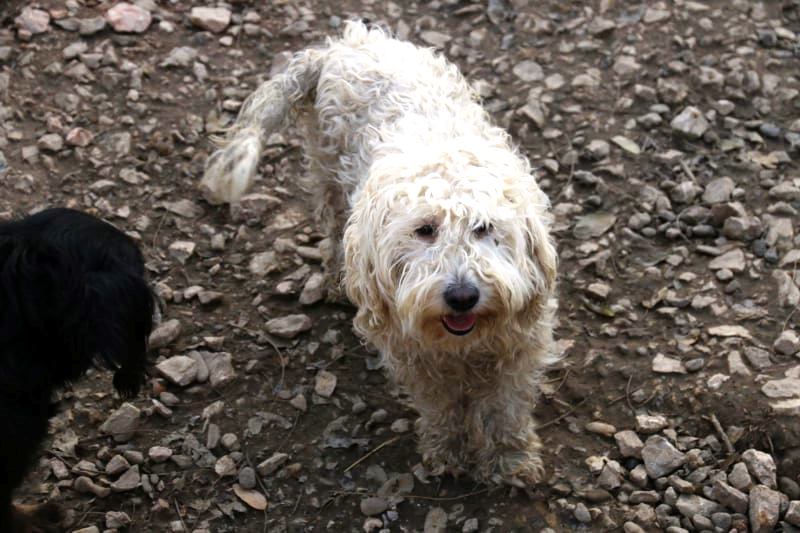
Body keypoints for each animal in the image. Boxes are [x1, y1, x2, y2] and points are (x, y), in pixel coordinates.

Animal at [203, 21, 560, 486]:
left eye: (484, 228)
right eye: (424, 230)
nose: (463, 296)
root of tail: (342, 45)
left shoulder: (518, 349)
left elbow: (506, 409)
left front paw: (510, 460)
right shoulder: (415, 357)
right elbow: (441, 406)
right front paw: (447, 451)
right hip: (330, 178)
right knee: (334, 229)